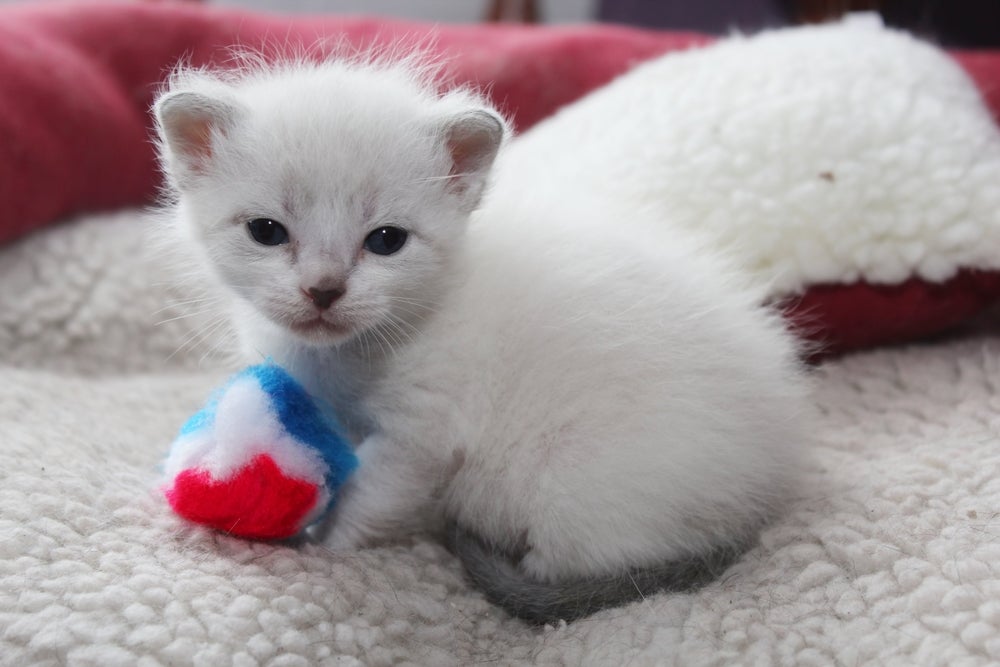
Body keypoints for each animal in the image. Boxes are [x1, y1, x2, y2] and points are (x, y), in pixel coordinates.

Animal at [156, 54, 812, 624]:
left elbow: (369, 499)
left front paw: (326, 549)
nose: (323, 289)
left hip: (579, 497)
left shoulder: (420, 436)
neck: (346, 357)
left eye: (386, 241)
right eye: (267, 231)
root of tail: (770, 483)